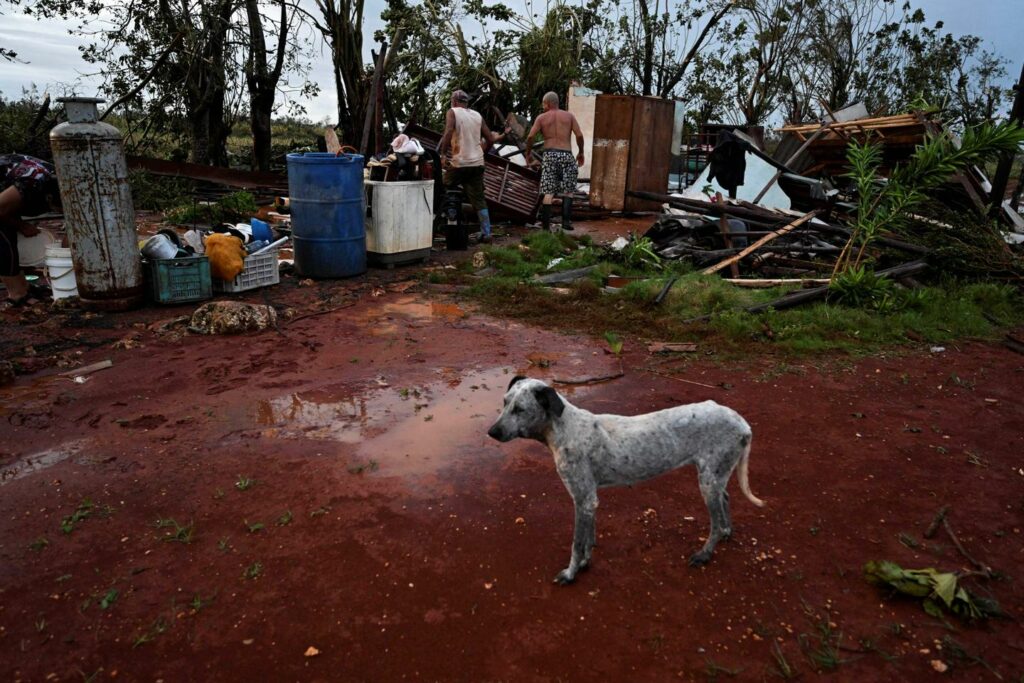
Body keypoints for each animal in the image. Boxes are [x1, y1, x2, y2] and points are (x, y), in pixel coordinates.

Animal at [485, 376, 761, 585]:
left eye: (520, 409)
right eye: (504, 402)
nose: (492, 432)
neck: (562, 429)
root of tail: (743, 423)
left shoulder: (582, 499)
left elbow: (577, 543)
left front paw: (571, 573)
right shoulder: (589, 501)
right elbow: (588, 538)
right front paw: (585, 562)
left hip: (707, 482)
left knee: (715, 523)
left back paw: (705, 553)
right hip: (715, 476)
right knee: (726, 499)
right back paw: (727, 532)